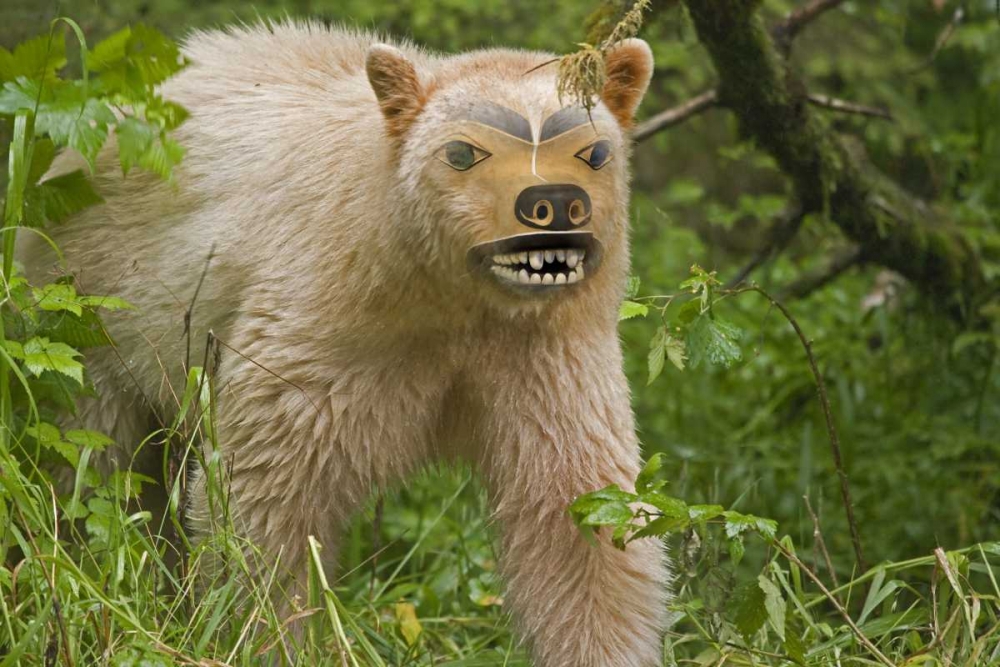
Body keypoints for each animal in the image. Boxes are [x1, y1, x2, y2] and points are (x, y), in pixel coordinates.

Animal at [20, 21, 670, 667]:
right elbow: (270, 489)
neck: (447, 293)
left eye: (594, 152)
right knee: (88, 463)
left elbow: (577, 506)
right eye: (464, 152)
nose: (555, 203)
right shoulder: (330, 319)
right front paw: (269, 635)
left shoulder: (546, 348)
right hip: (90, 305)